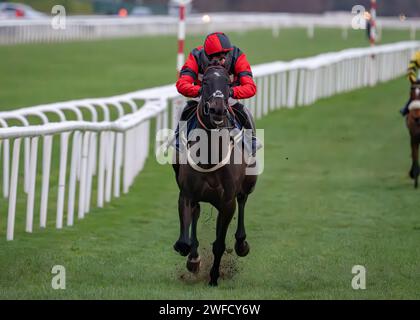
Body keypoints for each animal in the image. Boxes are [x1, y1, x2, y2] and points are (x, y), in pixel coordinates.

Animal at [171, 63, 258, 286]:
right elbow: (184, 241)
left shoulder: (227, 203)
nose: (217, 108)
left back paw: (241, 244)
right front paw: (193, 260)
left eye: (227, 82)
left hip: (248, 183)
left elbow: (219, 244)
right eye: (205, 83)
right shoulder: (187, 195)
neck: (210, 158)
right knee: (196, 213)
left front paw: (213, 277)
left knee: (243, 200)